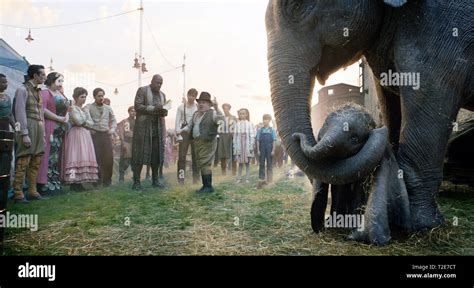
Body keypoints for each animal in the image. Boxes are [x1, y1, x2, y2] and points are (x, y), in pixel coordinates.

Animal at [264, 0, 472, 230]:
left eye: (296, 6)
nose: (298, 137)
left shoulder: (442, 30)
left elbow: (429, 95)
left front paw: (422, 226)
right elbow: (389, 98)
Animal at [294, 104, 412, 245]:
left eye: (355, 139)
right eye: (324, 126)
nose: (296, 136)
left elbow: (358, 187)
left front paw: (349, 228)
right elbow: (338, 187)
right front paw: (334, 224)